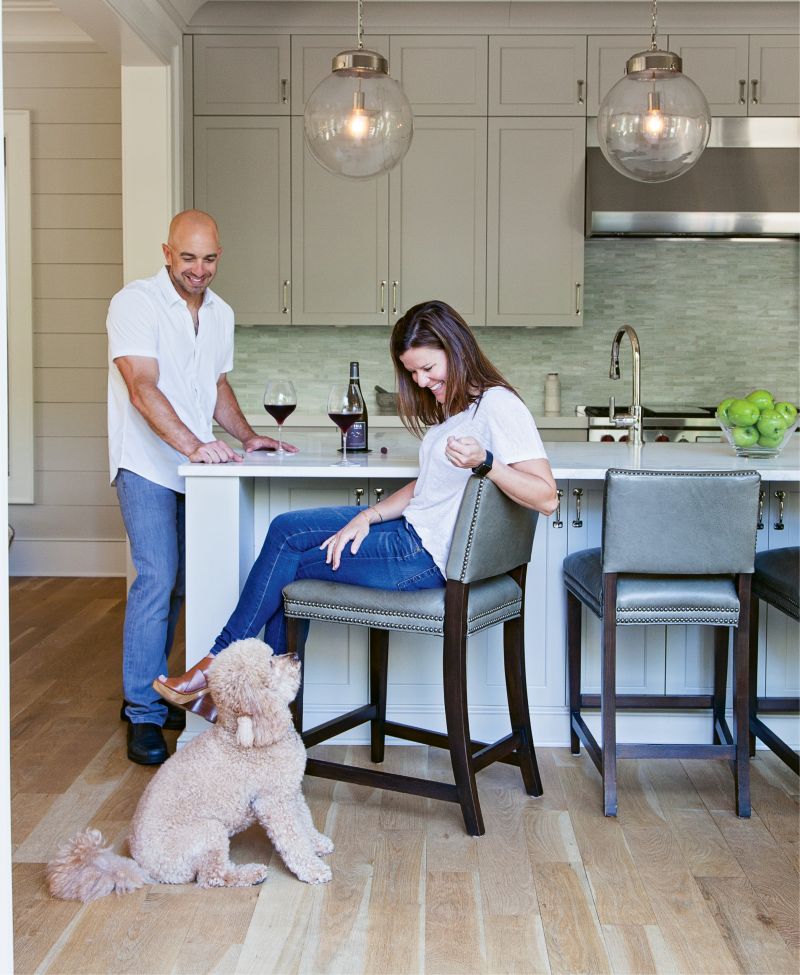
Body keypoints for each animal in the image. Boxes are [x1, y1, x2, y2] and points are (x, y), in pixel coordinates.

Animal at [45, 636, 332, 904]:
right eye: (270, 664)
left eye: (272, 654)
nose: (295, 655)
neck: (246, 736)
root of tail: (142, 866)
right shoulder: (273, 802)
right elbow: (293, 839)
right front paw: (314, 869)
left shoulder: (291, 793)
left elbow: (304, 822)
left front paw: (317, 843)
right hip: (209, 832)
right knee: (213, 876)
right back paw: (250, 873)